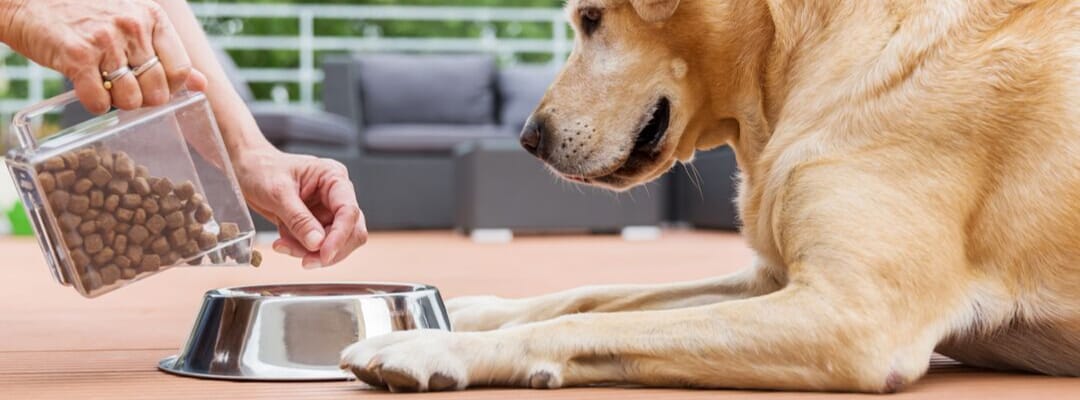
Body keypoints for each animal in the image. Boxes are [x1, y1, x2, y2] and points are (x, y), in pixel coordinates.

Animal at [339, 0, 1080, 393]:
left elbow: (595, 323)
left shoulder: (855, 316)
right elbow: (591, 296)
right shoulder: (770, 279)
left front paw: (430, 349)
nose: (527, 137)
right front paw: (461, 315)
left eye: (591, 17)